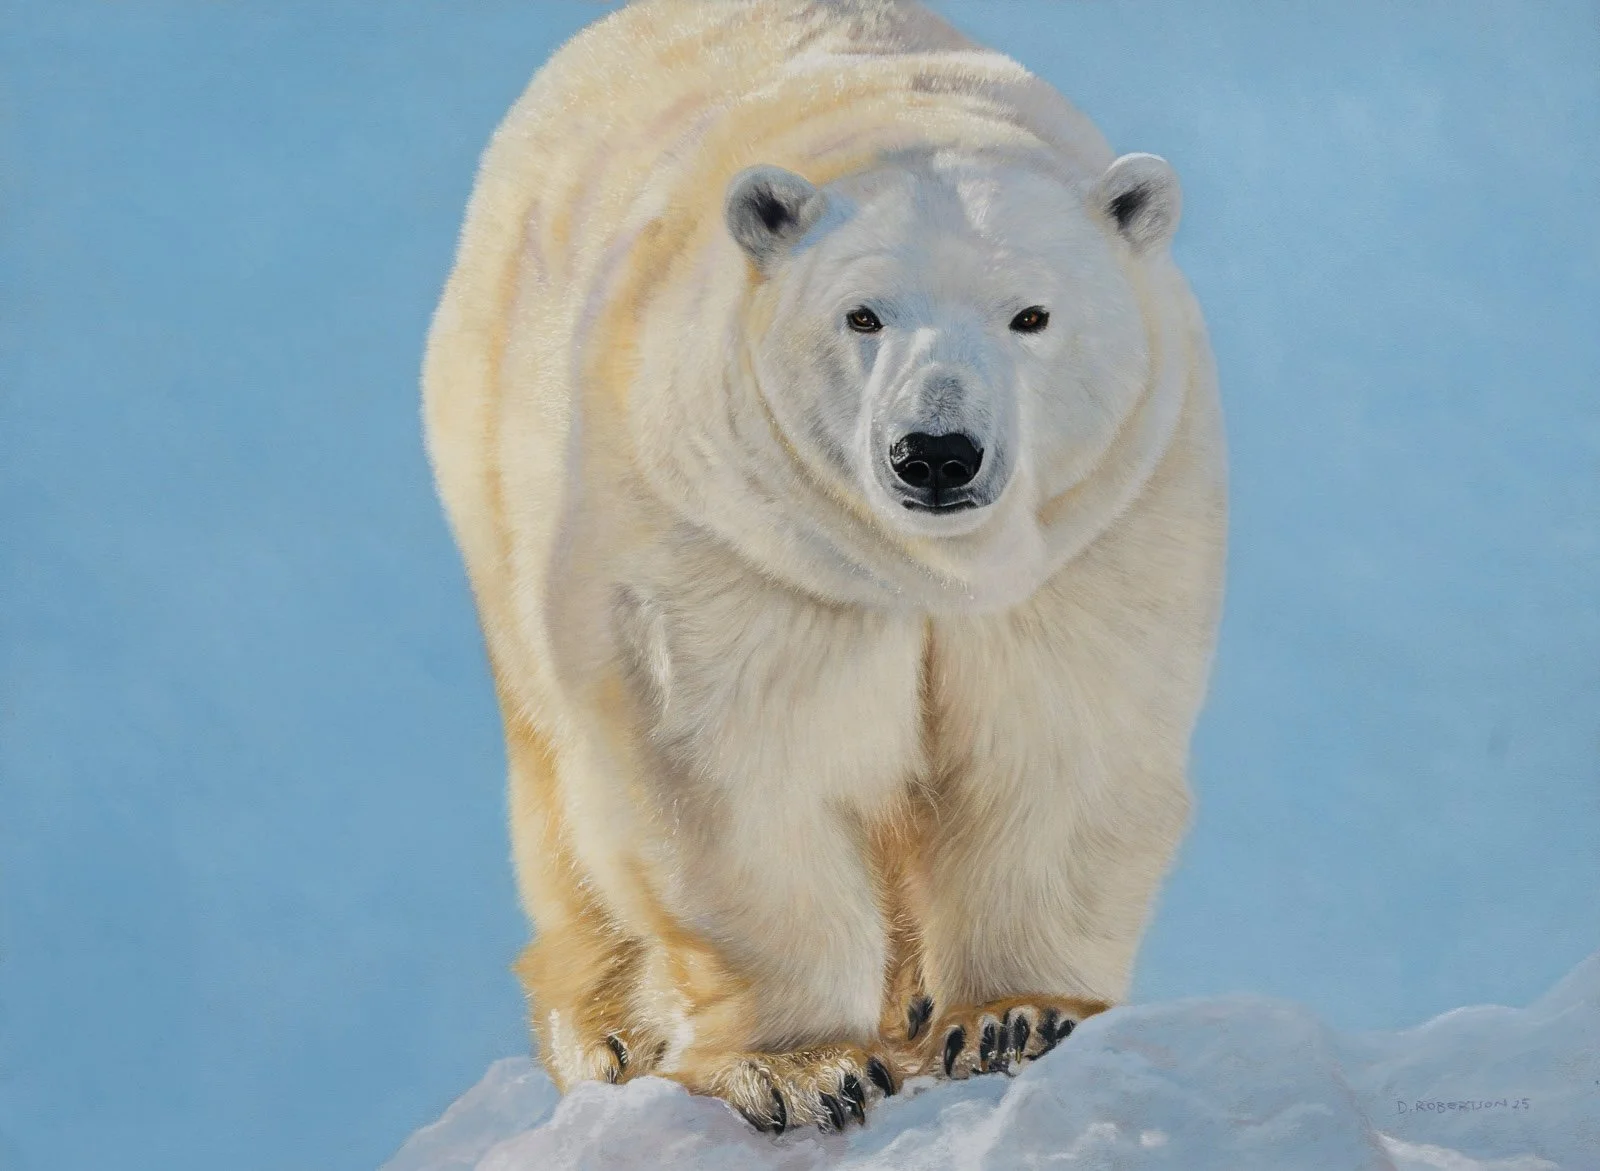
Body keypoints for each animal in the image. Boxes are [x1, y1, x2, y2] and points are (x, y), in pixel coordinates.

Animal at [422, 0, 1226, 1135]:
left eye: (1031, 314)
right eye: (863, 313)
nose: (936, 453)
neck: (926, 571)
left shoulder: (1097, 530)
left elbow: (1054, 743)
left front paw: (1014, 1016)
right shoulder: (736, 540)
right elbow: (737, 769)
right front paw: (805, 1068)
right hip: (501, 462)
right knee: (559, 782)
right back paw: (608, 1030)